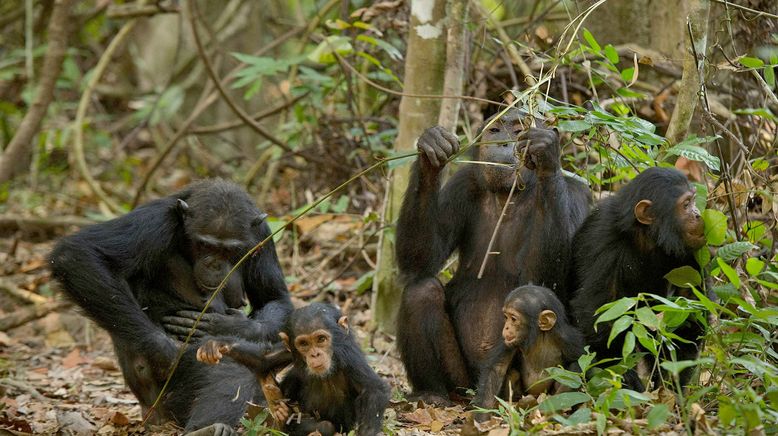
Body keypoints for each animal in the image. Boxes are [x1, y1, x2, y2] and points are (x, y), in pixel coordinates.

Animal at [48, 179, 292, 430]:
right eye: (204, 245)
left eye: (229, 249)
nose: (213, 264)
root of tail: (151, 413)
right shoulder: (154, 221)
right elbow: (78, 254)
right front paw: (166, 350)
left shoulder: (263, 235)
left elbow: (274, 297)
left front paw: (230, 325)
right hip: (167, 399)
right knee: (230, 373)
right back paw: (207, 428)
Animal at [197, 304, 392, 436]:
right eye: (304, 344)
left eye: (321, 339)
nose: (315, 354)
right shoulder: (288, 349)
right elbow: (264, 359)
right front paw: (218, 345)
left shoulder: (348, 354)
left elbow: (374, 388)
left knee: (326, 426)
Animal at [394, 106, 588, 402]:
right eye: (495, 130)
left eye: (518, 131)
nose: (503, 143)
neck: (511, 193)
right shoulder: (462, 185)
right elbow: (421, 260)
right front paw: (431, 148)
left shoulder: (577, 196)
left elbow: (546, 284)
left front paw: (545, 152)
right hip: (460, 381)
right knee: (421, 291)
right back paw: (431, 393)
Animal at [472, 284, 584, 420]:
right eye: (505, 317)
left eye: (513, 319)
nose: (506, 327)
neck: (540, 336)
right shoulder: (507, 342)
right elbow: (496, 369)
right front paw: (482, 417)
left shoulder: (569, 339)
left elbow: (578, 363)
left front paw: (557, 404)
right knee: (513, 374)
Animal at [568, 168, 708, 392]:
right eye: (686, 204)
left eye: (693, 200)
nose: (697, 214)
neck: (645, 234)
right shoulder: (602, 238)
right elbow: (598, 312)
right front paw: (624, 378)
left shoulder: (690, 251)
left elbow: (688, 310)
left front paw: (671, 386)